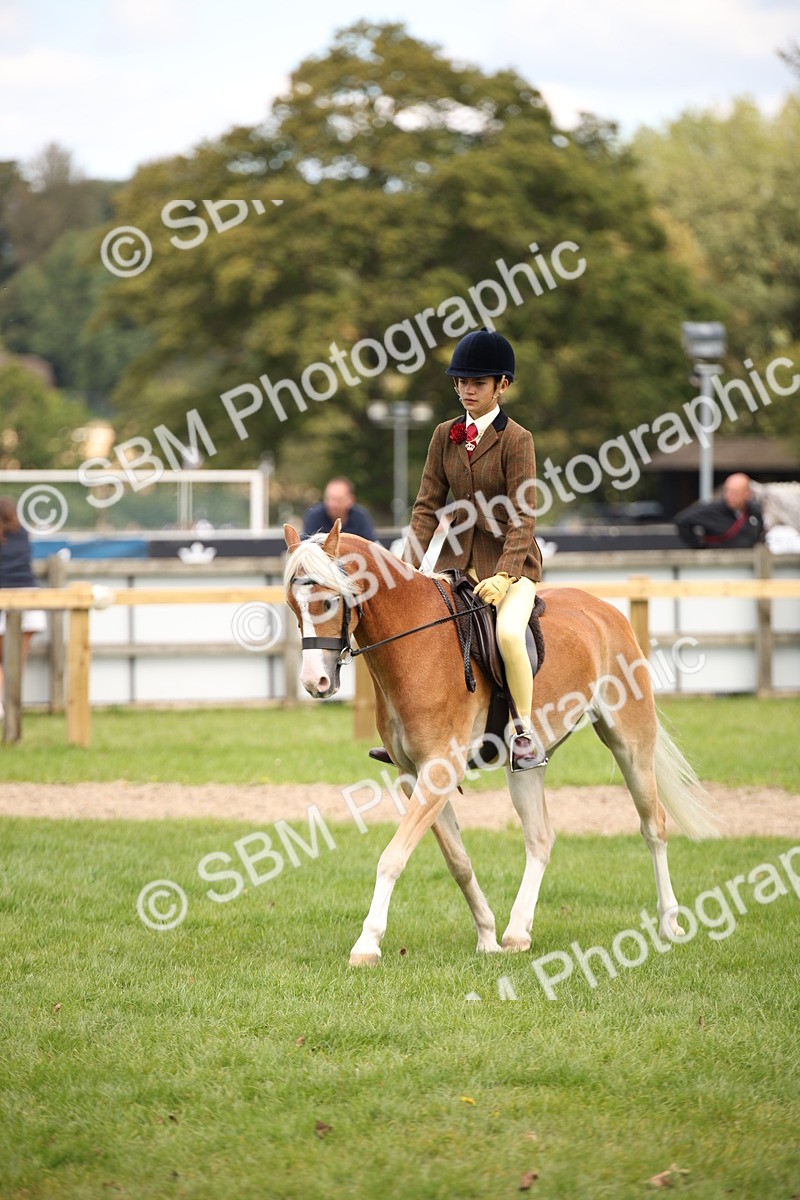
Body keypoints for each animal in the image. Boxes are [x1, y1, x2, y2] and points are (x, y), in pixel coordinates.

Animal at [283, 521, 718, 967]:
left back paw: (669, 924)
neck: (414, 645)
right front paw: (487, 936)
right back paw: (516, 933)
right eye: (294, 605)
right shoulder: (413, 775)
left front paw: (367, 944)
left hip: (630, 743)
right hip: (526, 766)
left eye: (329, 600)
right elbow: (457, 861)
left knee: (654, 827)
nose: (315, 683)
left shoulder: (438, 770)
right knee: (540, 839)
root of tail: (605, 609)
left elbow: (393, 856)